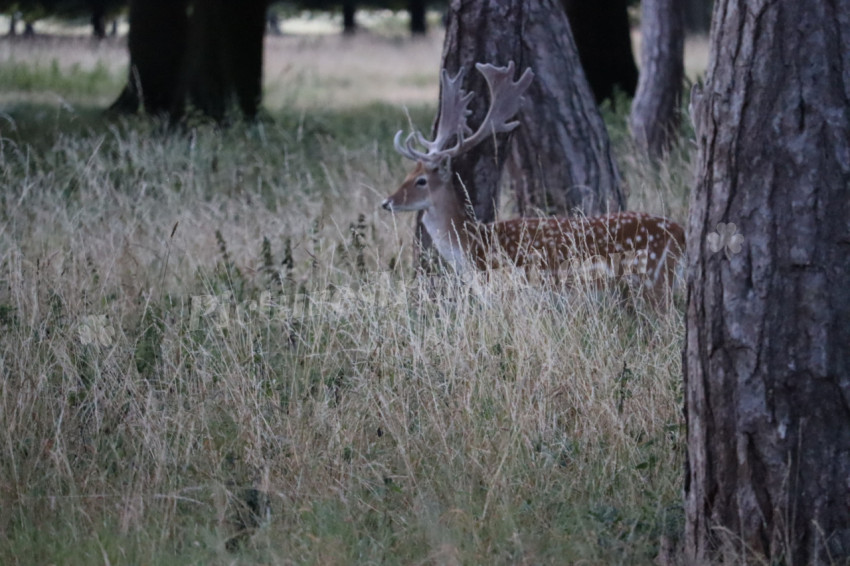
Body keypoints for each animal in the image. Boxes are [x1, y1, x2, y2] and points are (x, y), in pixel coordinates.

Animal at [381, 61, 686, 307]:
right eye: (408, 173)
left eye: (421, 180)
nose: (387, 202)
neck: (475, 249)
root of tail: (681, 233)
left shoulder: (512, 294)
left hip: (654, 280)